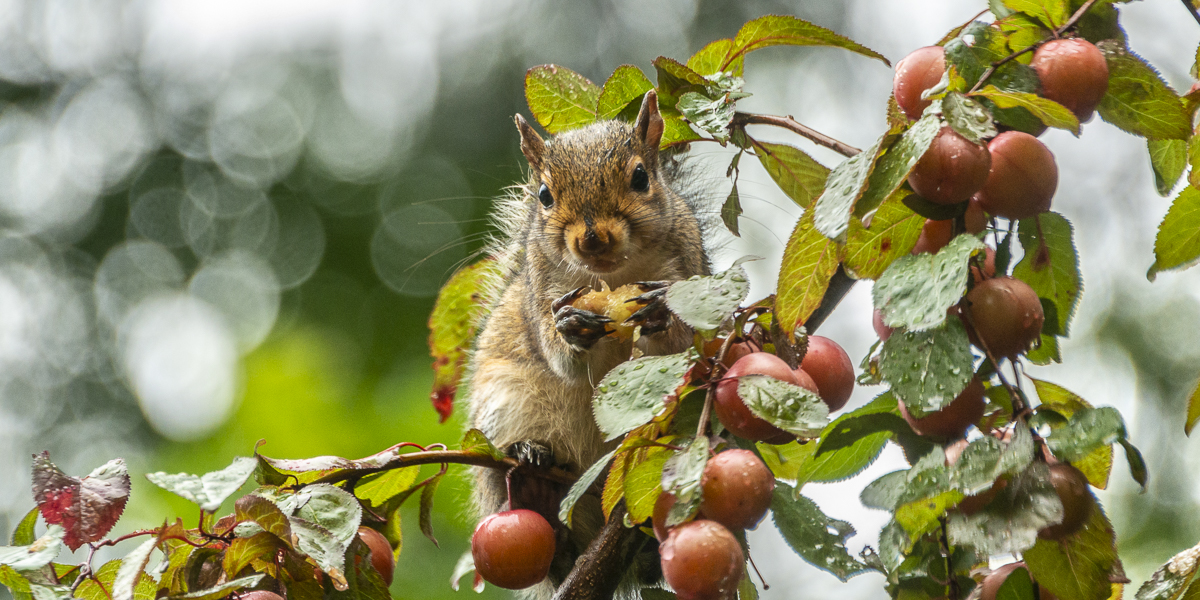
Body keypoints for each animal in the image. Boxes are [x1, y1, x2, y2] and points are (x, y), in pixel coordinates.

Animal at [465, 90, 716, 598]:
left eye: (640, 177)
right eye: (544, 195)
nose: (592, 238)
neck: (615, 276)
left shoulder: (689, 268)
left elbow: (682, 346)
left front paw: (660, 315)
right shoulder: (541, 287)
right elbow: (559, 354)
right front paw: (571, 327)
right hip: (499, 412)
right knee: (553, 550)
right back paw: (535, 480)